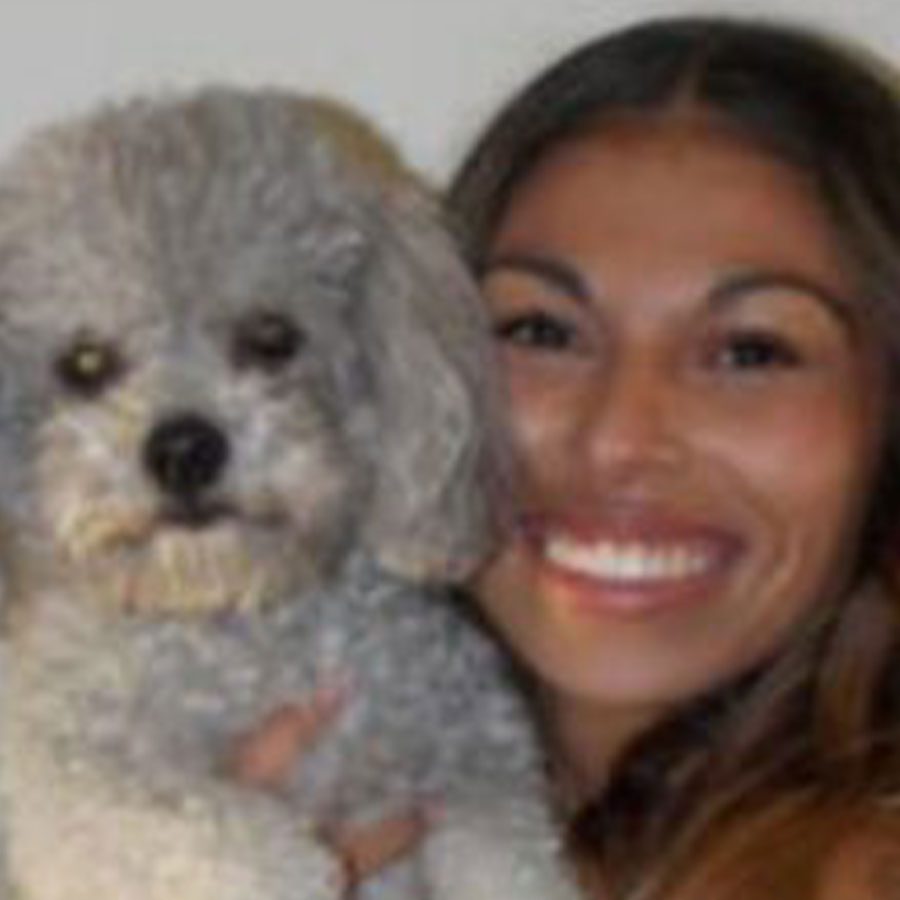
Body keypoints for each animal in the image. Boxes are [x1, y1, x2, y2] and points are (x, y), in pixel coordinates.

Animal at [0, 89, 580, 900]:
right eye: (84, 362)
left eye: (273, 336)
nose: (184, 448)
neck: (248, 634)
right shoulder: (73, 780)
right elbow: (230, 836)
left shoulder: (476, 768)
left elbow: (511, 864)